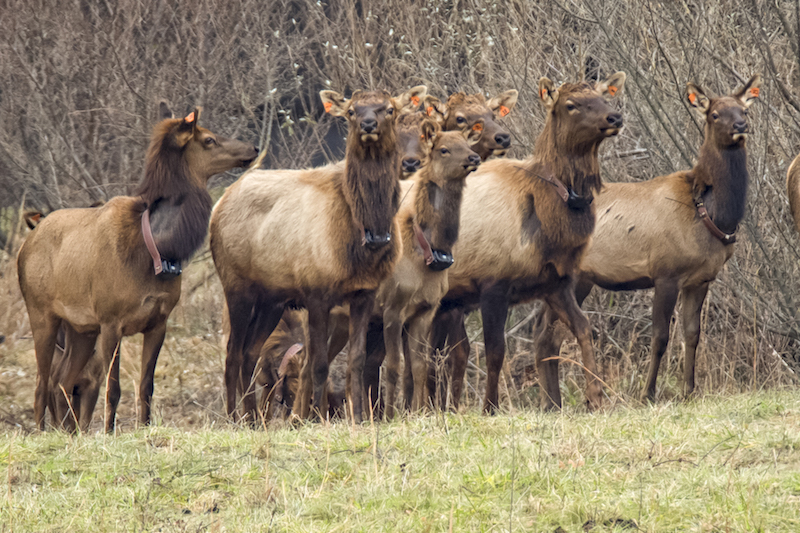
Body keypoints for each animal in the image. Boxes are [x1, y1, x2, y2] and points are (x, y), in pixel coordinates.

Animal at [18, 106, 256, 430]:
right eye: (209, 139)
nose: (252, 149)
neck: (157, 249)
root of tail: (24, 246)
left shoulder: (158, 320)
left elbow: (146, 385)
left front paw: (144, 427)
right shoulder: (111, 320)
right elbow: (114, 387)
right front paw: (109, 432)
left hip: (81, 328)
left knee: (62, 381)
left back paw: (71, 433)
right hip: (41, 313)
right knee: (41, 383)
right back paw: (43, 432)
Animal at [209, 85, 428, 422]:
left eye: (389, 108)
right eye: (351, 110)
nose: (368, 124)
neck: (364, 236)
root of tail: (219, 204)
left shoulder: (364, 293)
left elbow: (356, 361)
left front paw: (359, 417)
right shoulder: (316, 292)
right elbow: (320, 364)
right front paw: (316, 417)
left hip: (272, 299)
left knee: (250, 353)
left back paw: (253, 419)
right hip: (236, 285)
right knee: (232, 354)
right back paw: (235, 418)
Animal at [428, 72, 628, 412]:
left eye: (603, 96)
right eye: (571, 104)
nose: (615, 117)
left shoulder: (555, 283)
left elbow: (584, 329)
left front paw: (596, 397)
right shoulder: (492, 282)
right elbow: (496, 351)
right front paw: (489, 407)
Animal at [536, 75, 760, 406]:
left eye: (744, 109)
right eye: (715, 114)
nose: (741, 125)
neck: (709, 214)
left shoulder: (701, 279)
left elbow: (692, 334)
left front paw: (690, 390)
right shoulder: (665, 272)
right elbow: (660, 336)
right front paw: (648, 393)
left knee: (544, 336)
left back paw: (554, 403)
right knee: (548, 336)